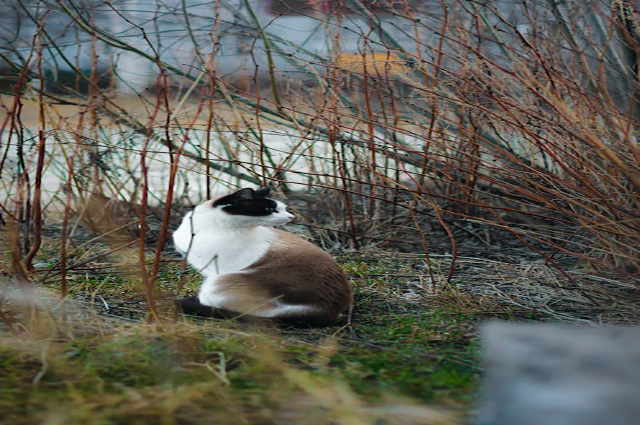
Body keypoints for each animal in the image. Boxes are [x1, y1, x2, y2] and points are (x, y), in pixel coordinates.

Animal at [172, 187, 352, 326]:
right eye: (269, 210)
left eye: (283, 209)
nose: (291, 217)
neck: (207, 228)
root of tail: (330, 313)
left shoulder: (216, 271)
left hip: (217, 282)